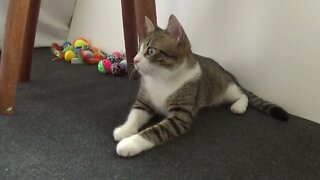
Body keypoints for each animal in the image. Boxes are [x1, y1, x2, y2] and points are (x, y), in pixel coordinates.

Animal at [112, 14, 288, 157]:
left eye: (151, 51)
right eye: (139, 48)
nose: (134, 60)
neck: (162, 78)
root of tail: (226, 72)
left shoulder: (181, 115)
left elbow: (156, 131)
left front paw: (129, 143)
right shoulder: (145, 99)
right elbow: (135, 114)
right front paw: (124, 130)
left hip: (225, 88)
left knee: (242, 94)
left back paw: (239, 106)